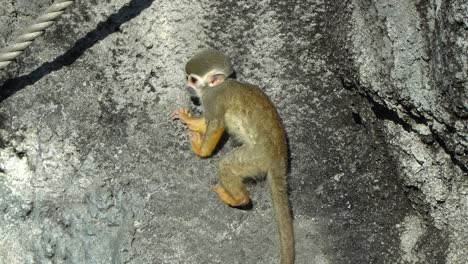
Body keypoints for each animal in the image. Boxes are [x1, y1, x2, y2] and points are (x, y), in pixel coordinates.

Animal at [172, 49, 292, 264]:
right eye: (187, 78)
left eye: (192, 80)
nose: (186, 85)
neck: (219, 85)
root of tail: (278, 158)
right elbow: (207, 123)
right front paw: (189, 120)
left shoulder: (213, 98)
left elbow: (216, 124)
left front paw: (201, 151)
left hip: (255, 158)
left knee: (227, 165)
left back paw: (239, 199)